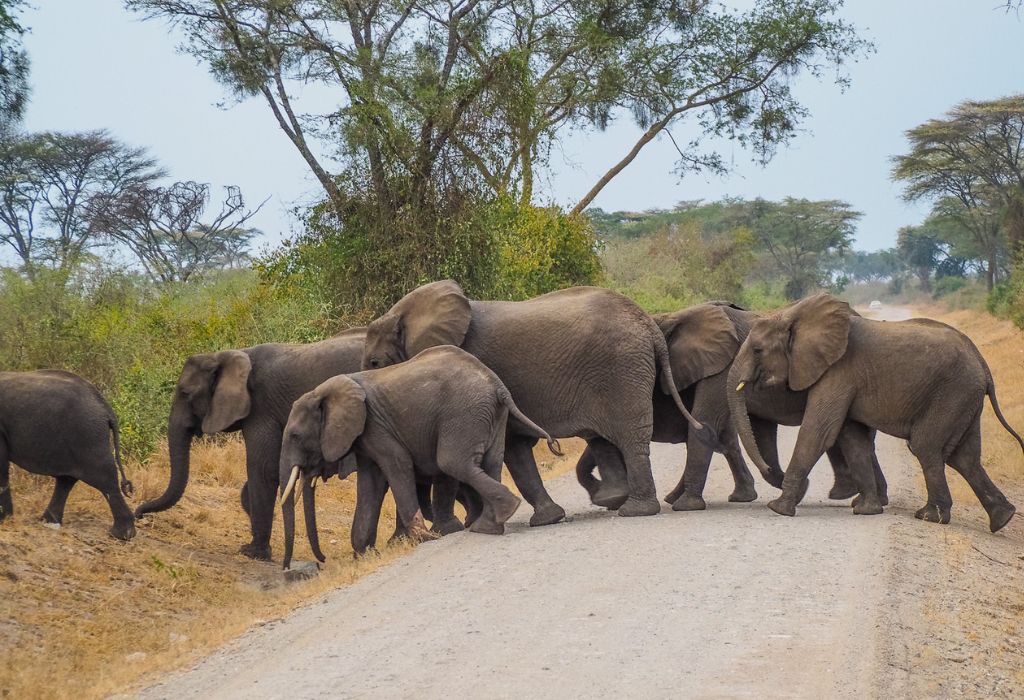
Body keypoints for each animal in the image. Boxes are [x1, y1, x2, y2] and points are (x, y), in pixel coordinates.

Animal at [0, 372, 136, 540]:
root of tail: (106, 409)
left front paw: (4, 520)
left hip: (87, 435)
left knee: (104, 477)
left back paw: (122, 534)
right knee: (66, 480)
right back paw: (48, 521)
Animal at [278, 343, 561, 569]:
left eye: (295, 436)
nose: (321, 561)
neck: (326, 389)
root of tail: (498, 385)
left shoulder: (376, 425)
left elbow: (397, 467)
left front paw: (423, 539)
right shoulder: (364, 435)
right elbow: (371, 483)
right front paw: (365, 555)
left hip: (462, 413)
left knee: (452, 461)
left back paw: (503, 513)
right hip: (489, 415)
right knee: (490, 461)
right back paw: (489, 526)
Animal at [364, 280, 716, 519]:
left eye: (374, 363)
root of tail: (647, 322)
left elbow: (510, 448)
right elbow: (517, 450)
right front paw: (548, 519)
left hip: (621, 369)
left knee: (629, 436)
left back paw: (634, 510)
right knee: (603, 436)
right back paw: (613, 500)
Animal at [733, 294, 1019, 532]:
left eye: (757, 349)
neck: (793, 315)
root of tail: (982, 363)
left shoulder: (839, 371)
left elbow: (818, 432)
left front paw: (778, 509)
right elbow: (851, 438)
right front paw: (866, 510)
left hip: (952, 393)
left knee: (926, 447)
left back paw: (930, 517)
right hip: (965, 398)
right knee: (965, 457)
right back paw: (1002, 519)